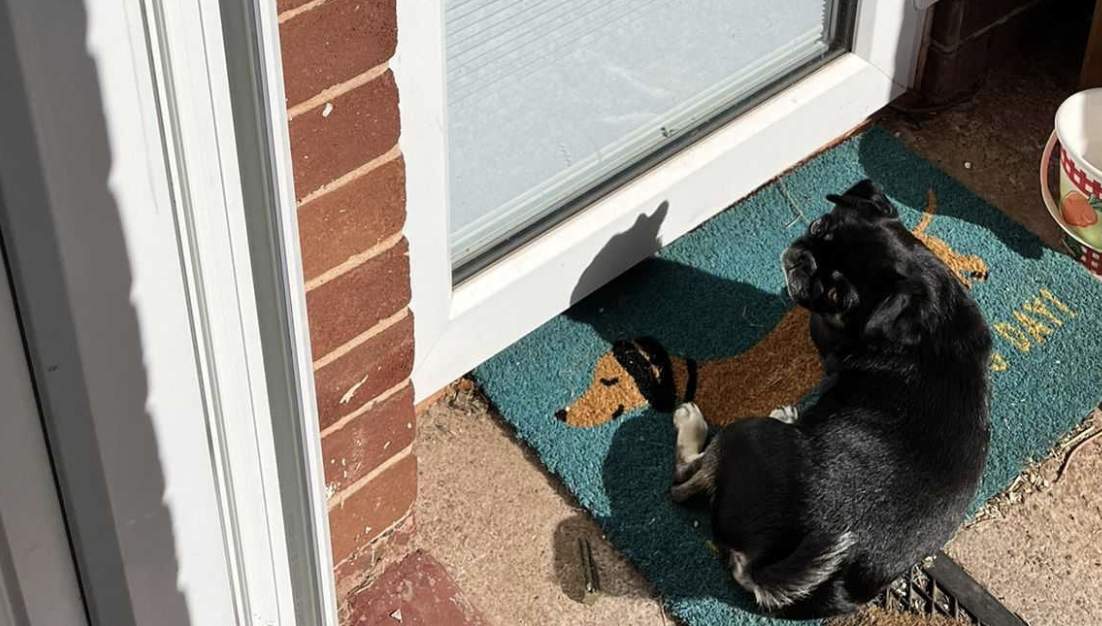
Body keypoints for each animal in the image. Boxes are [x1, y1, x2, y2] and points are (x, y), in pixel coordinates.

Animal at [670, 179, 991, 617]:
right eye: (819, 226)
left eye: (838, 296)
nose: (803, 262)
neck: (928, 318)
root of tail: (756, 565)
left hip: (746, 433)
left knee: (683, 482)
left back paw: (699, 422)